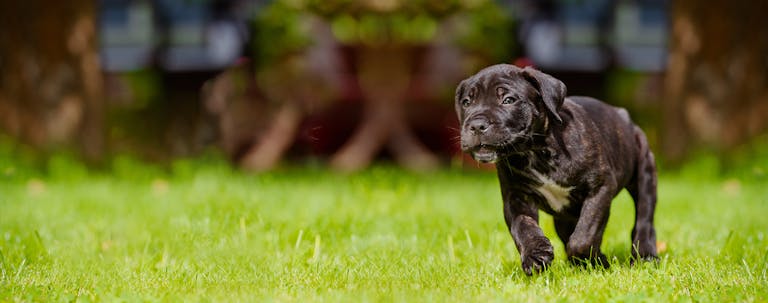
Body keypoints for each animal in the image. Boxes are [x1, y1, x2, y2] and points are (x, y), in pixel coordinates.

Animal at [456, 64, 660, 276]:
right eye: (466, 103)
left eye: (509, 100)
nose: (476, 125)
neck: (533, 152)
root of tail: (623, 115)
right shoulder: (516, 198)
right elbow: (523, 227)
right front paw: (535, 255)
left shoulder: (601, 187)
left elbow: (584, 234)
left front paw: (590, 258)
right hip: (564, 218)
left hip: (644, 171)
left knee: (644, 217)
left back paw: (645, 256)